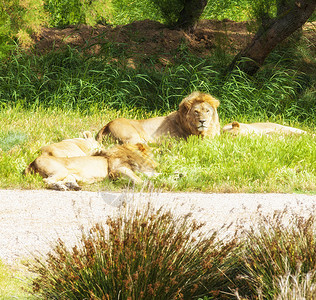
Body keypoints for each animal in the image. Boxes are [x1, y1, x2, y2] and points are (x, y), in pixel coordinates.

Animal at [25, 143, 159, 190]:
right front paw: (148, 184)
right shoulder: (116, 170)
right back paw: (61, 187)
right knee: (46, 181)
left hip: (69, 175)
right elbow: (136, 178)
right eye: (151, 155)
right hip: (61, 171)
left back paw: (71, 186)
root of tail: (32, 162)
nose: (157, 165)